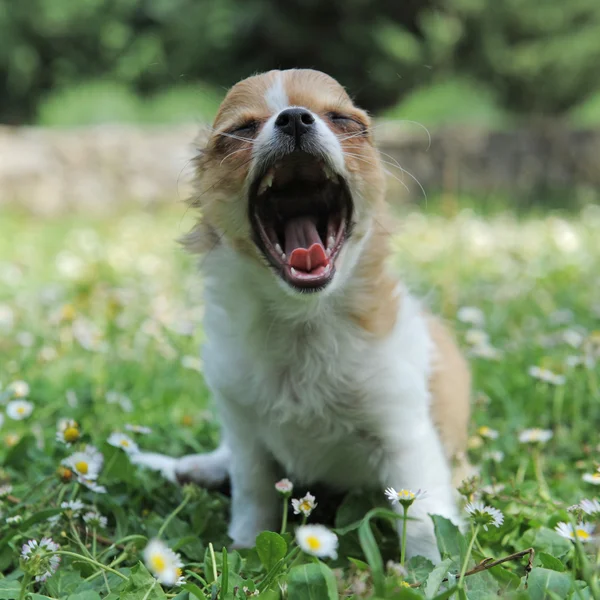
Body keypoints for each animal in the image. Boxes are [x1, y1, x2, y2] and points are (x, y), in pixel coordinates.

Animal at [135, 70, 468, 564]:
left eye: (345, 121)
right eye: (241, 129)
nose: (294, 118)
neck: (302, 322)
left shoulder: (404, 434)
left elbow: (426, 519)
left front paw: (430, 569)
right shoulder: (246, 432)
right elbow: (252, 494)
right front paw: (245, 546)